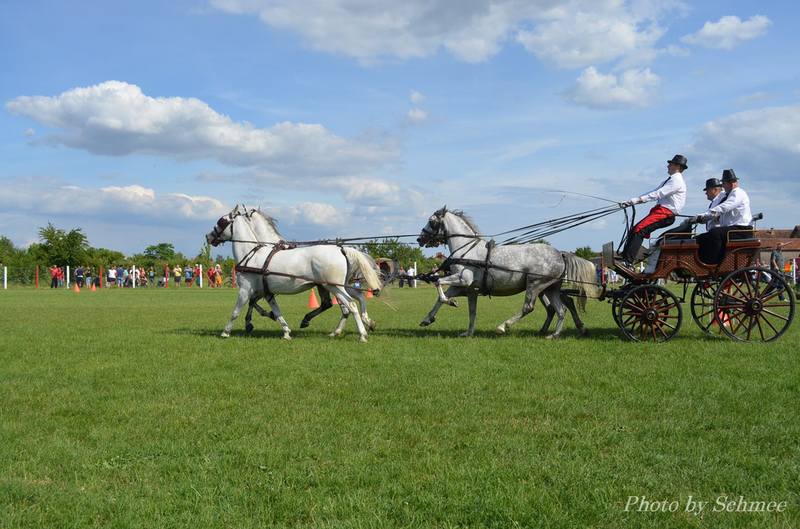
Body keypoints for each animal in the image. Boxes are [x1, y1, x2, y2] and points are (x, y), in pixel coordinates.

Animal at [206, 204, 382, 340]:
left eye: (221, 221)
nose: (208, 236)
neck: (251, 254)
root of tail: (341, 249)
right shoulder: (266, 292)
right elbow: (275, 311)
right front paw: (285, 331)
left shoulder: (245, 289)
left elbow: (236, 311)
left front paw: (226, 332)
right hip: (339, 285)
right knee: (358, 297)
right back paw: (365, 323)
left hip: (333, 286)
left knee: (350, 305)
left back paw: (361, 334)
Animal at [418, 207, 600, 338]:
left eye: (431, 221)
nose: (419, 239)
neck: (466, 251)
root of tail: (560, 253)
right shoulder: (467, 289)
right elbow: (469, 310)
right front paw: (430, 319)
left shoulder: (463, 280)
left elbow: (438, 282)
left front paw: (451, 303)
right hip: (550, 288)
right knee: (561, 309)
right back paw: (554, 334)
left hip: (535, 284)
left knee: (530, 307)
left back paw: (503, 326)